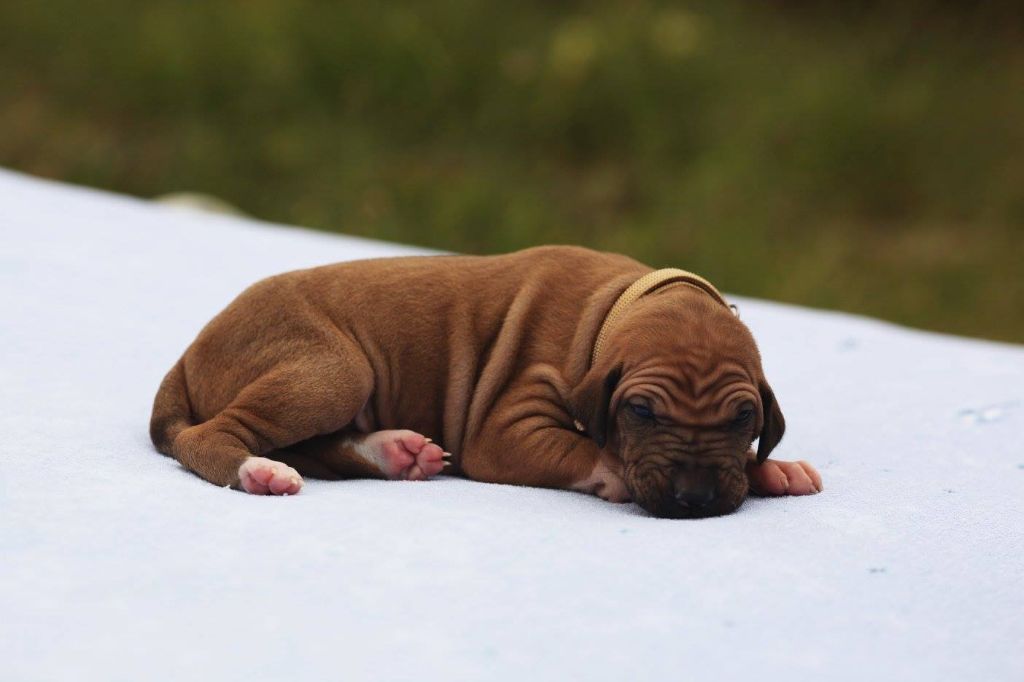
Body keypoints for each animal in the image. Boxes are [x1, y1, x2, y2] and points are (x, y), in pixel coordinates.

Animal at [151, 246, 821, 518]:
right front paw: (616, 472)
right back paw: (258, 472)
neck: (614, 306)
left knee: (319, 449)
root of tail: (187, 356)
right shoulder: (507, 425)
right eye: (642, 413)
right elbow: (582, 448)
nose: (695, 499)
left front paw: (772, 470)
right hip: (332, 370)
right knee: (213, 437)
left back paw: (397, 452)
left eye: (743, 419)